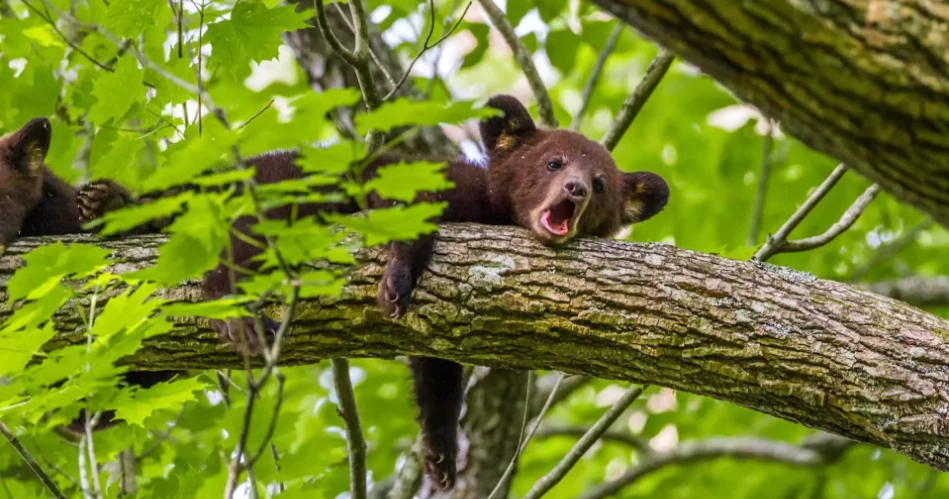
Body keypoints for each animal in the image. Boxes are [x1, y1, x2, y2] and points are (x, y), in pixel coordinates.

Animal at [82, 94, 670, 490]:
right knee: (235, 250)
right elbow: (407, 211)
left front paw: (440, 452)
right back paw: (238, 314)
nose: (574, 189)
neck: (494, 208)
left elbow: (437, 366)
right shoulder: (418, 178)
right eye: (552, 162)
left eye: (599, 183)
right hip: (266, 194)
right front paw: (396, 280)